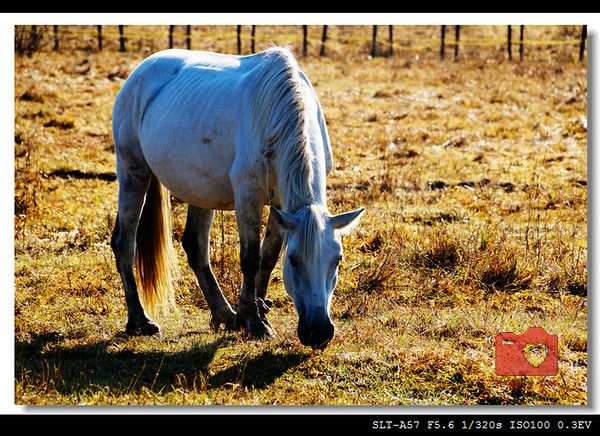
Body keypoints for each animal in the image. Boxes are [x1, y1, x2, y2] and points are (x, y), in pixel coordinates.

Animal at [110, 46, 364, 350]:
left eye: (338, 259)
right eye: (293, 260)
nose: (318, 332)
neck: (276, 117)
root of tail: (142, 69)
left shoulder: (281, 206)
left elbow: (267, 256)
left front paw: (256, 310)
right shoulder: (248, 197)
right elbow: (250, 258)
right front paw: (254, 320)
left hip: (200, 191)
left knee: (195, 246)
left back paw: (225, 314)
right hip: (133, 172)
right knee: (125, 243)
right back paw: (140, 321)